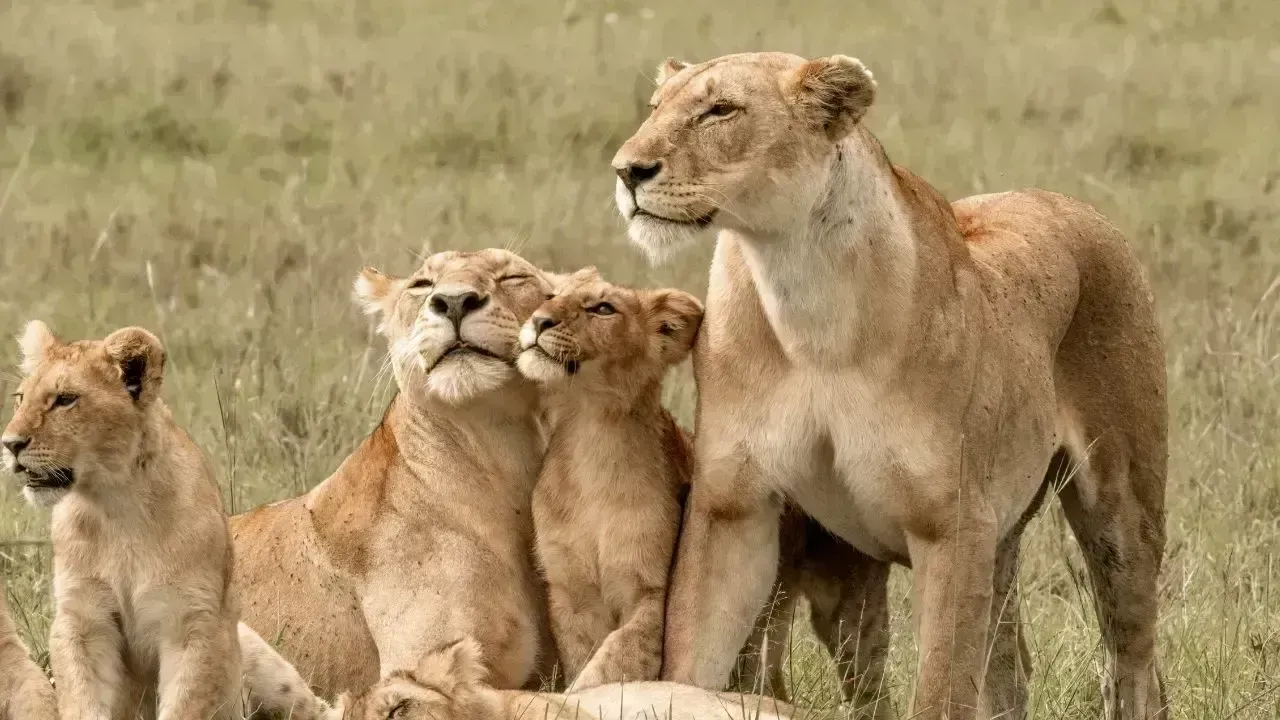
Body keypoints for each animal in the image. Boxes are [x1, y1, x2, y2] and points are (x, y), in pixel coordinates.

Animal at [516, 271, 703, 690]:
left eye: (603, 308)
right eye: (550, 296)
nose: (539, 321)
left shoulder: (649, 591)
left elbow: (616, 658)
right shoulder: (570, 592)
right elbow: (584, 657)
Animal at [610, 52, 1169, 720]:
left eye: (721, 110)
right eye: (655, 107)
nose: (627, 171)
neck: (805, 297)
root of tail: (1072, 204)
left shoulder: (951, 526)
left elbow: (940, 691)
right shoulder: (732, 509)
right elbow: (690, 662)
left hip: (1121, 510)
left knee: (1133, 661)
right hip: (991, 540)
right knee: (1008, 666)